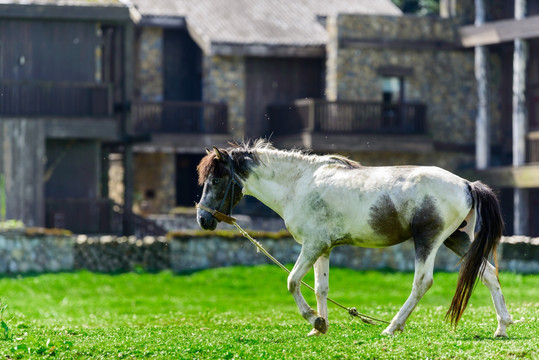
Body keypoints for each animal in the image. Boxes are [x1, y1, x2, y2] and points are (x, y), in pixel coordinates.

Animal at [195, 141, 516, 338]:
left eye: (216, 180)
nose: (202, 219)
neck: (299, 184)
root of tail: (466, 184)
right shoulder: (322, 249)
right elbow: (321, 288)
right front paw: (320, 326)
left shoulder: (311, 246)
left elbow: (292, 281)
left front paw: (313, 319)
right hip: (456, 239)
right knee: (488, 273)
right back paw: (502, 326)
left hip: (428, 241)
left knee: (422, 282)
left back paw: (392, 327)